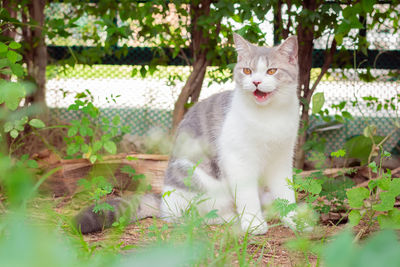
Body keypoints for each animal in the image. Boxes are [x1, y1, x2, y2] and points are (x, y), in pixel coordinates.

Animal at [75, 32, 300, 236]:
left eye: (271, 70)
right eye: (247, 70)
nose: (256, 82)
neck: (269, 115)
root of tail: (163, 201)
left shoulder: (282, 158)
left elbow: (286, 192)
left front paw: (295, 220)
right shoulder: (239, 160)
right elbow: (247, 195)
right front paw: (254, 223)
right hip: (195, 178)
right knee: (192, 216)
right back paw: (230, 218)